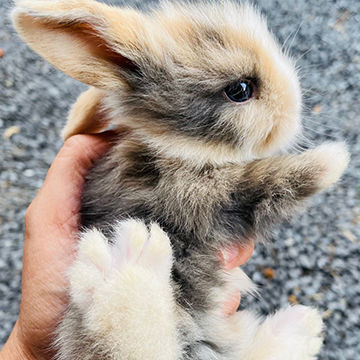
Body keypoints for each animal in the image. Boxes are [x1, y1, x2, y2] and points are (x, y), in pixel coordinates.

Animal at [12, 1, 350, 358]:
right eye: (240, 89)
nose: (295, 109)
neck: (174, 146)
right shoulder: (205, 195)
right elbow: (270, 179)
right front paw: (335, 157)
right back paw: (131, 266)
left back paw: (304, 325)